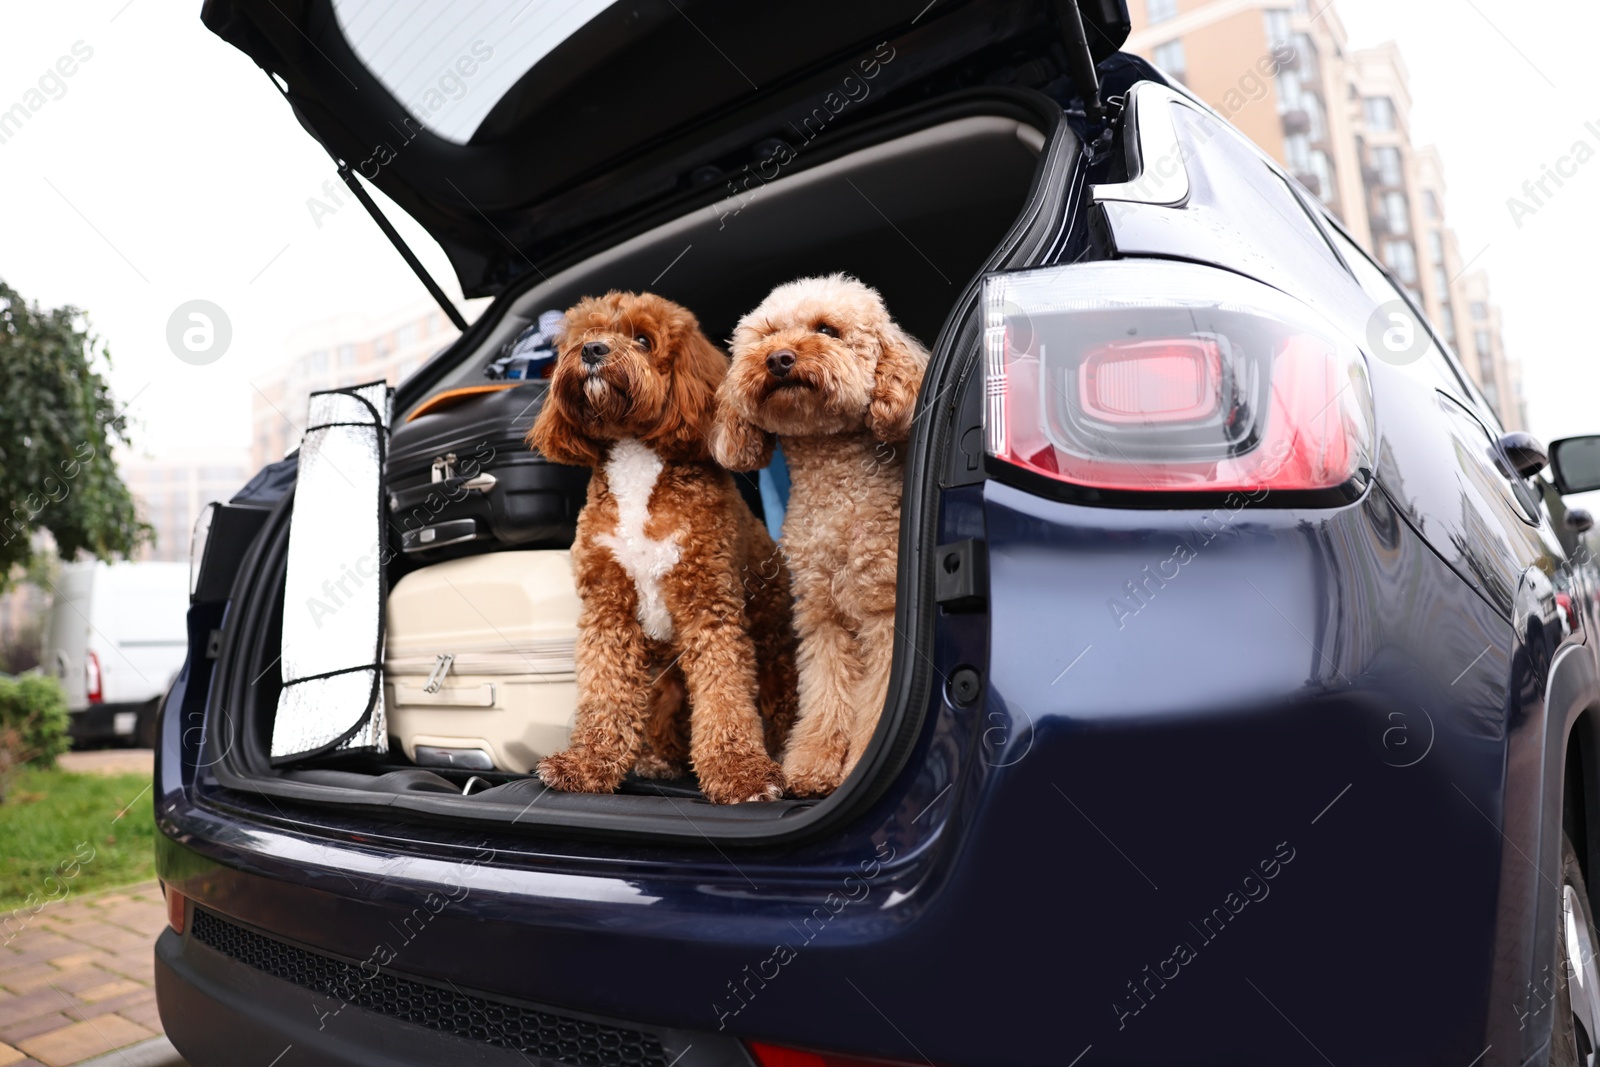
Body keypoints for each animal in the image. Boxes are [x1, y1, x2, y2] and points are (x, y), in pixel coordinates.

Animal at [528, 287, 796, 806]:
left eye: (643, 340)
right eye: (589, 333)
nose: (593, 350)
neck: (636, 457)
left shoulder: (708, 604)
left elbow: (724, 696)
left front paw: (741, 774)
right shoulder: (608, 608)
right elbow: (605, 694)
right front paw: (587, 764)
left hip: (775, 661)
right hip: (663, 682)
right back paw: (658, 760)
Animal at [710, 271, 934, 796]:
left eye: (827, 330)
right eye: (768, 334)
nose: (778, 358)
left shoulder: (884, 618)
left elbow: (876, 704)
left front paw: (856, 765)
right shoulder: (821, 617)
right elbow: (826, 695)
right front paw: (811, 768)